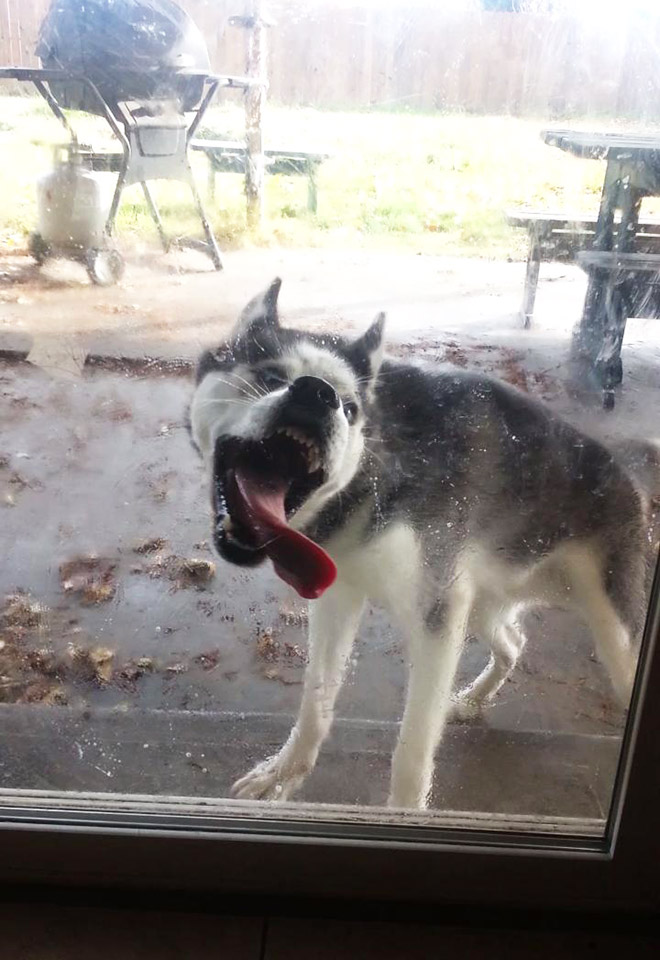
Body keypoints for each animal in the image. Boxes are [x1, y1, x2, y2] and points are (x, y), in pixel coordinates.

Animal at [188, 278, 648, 808]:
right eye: (268, 375)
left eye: (350, 408)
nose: (317, 393)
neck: (375, 468)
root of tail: (627, 474)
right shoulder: (341, 596)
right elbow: (316, 701)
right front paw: (284, 773)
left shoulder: (437, 622)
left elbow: (412, 750)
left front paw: (403, 811)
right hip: (481, 601)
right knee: (514, 642)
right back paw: (471, 700)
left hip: (611, 637)